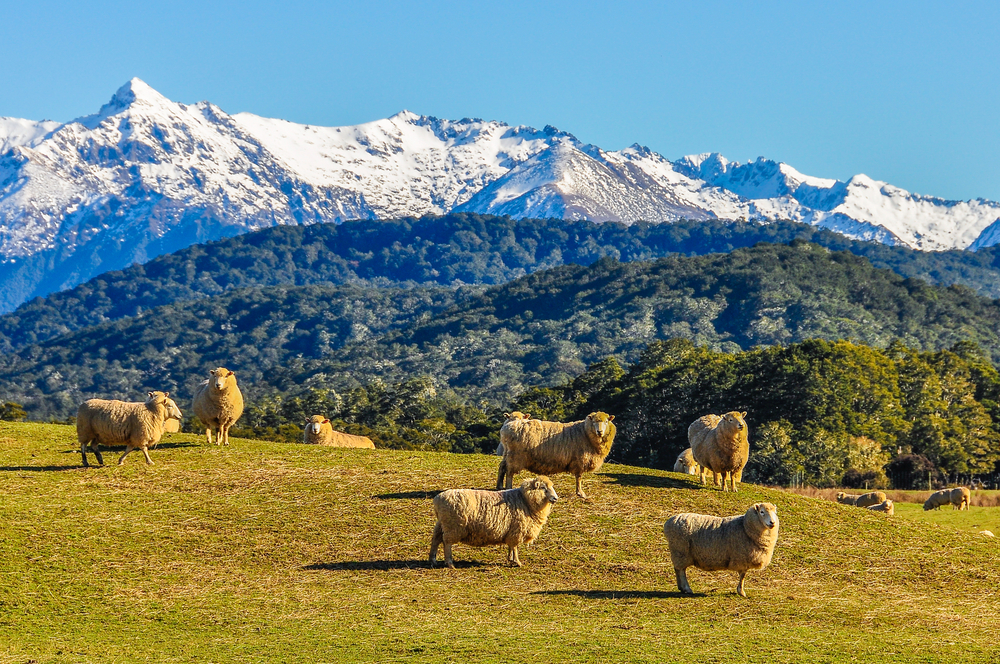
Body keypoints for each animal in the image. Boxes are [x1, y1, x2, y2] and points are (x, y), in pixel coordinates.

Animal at [426, 474, 560, 568]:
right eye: (543, 487)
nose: (555, 498)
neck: (525, 500)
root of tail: (437, 499)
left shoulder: (511, 531)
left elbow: (511, 546)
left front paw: (510, 559)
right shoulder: (517, 530)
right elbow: (515, 547)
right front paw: (517, 562)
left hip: (442, 523)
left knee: (436, 539)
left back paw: (433, 560)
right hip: (453, 526)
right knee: (447, 543)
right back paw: (449, 563)